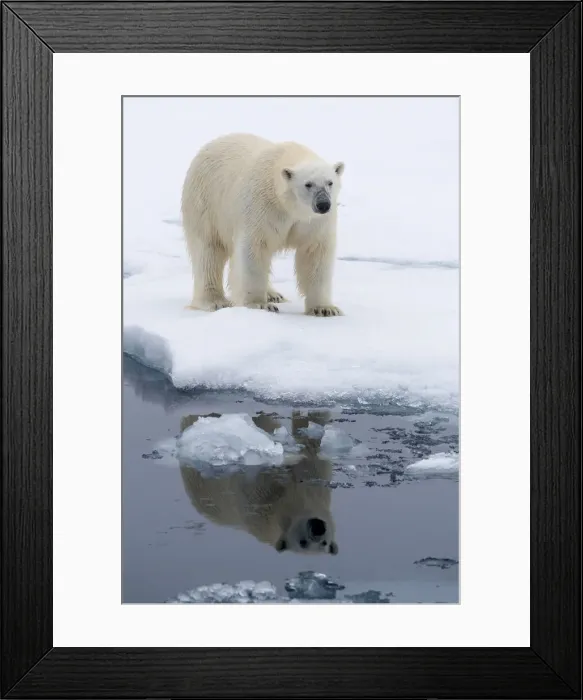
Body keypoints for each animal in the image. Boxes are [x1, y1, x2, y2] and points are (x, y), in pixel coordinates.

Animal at [180, 132, 345, 316]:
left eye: (330, 182)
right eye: (308, 184)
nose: (323, 204)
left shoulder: (314, 221)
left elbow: (315, 253)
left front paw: (325, 309)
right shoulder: (262, 206)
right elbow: (254, 249)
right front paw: (259, 304)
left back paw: (274, 294)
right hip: (206, 204)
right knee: (207, 250)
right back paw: (214, 301)